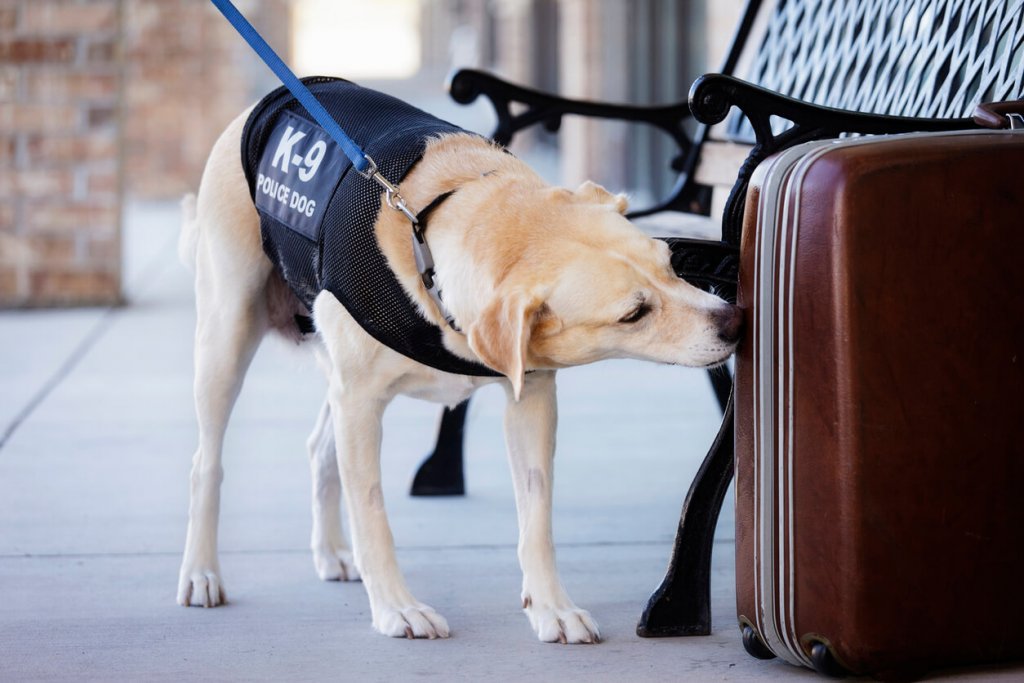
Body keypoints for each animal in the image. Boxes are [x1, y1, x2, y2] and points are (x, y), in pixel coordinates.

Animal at [174, 98, 737, 643]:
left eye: (671, 264)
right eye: (633, 313)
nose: (735, 320)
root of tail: (261, 106)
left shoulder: (531, 397)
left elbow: (537, 518)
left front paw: (551, 608)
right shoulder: (360, 404)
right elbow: (372, 514)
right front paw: (396, 609)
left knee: (319, 450)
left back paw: (331, 551)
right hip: (227, 336)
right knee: (205, 461)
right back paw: (201, 572)